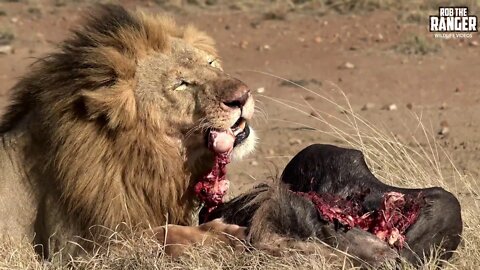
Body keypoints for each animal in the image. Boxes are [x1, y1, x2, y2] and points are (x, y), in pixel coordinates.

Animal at [0, 4, 255, 258]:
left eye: (210, 63)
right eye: (181, 84)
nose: (242, 96)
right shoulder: (73, 248)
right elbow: (164, 235)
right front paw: (226, 235)